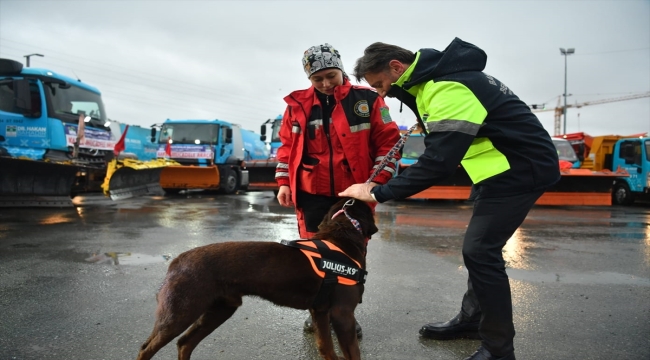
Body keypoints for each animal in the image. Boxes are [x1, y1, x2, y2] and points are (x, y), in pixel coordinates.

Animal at [137, 198, 378, 358]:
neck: (342, 237)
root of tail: (176, 262)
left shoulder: (320, 312)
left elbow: (326, 348)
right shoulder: (342, 313)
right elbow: (352, 353)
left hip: (220, 309)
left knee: (185, 343)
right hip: (181, 313)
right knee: (147, 348)